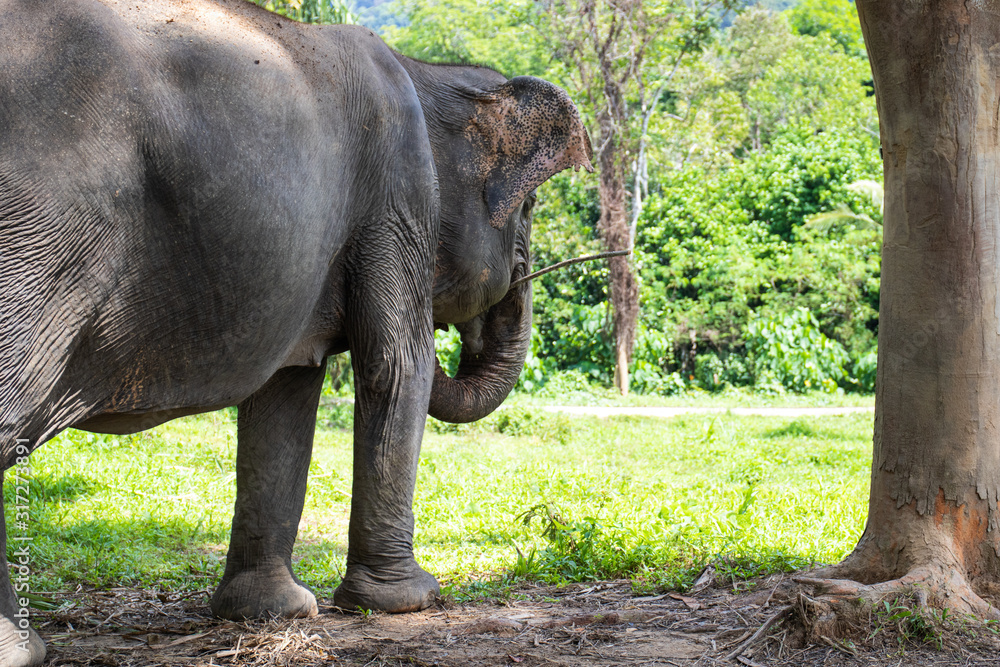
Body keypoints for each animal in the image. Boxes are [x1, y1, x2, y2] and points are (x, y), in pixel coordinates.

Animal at [0, 0, 592, 663]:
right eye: (531, 209)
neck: (425, 71)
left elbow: (287, 393)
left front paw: (270, 612)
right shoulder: (398, 194)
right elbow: (398, 366)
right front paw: (410, 600)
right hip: (40, 235)